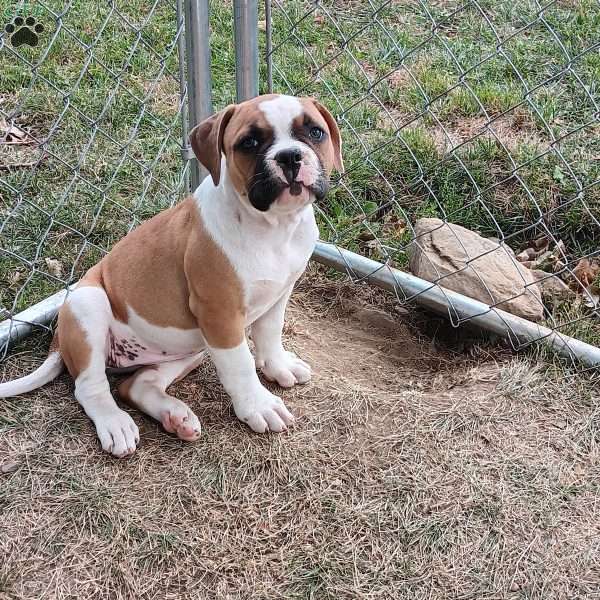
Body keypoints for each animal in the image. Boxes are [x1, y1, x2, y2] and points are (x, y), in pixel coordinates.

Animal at [0, 96, 342, 458]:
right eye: (249, 143)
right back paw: (115, 424)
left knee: (135, 385)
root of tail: (58, 336)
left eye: (315, 132)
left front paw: (279, 367)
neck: (273, 227)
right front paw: (259, 406)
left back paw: (175, 416)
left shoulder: (278, 295)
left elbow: (270, 335)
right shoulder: (220, 316)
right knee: (89, 386)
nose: (290, 156)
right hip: (88, 304)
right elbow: (241, 365)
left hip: (189, 347)